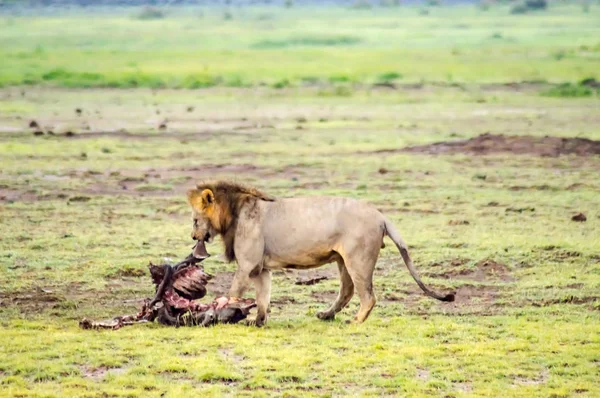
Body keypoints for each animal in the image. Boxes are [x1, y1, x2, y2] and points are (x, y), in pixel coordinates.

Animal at [188, 182, 454, 324]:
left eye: (194, 220)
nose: (192, 237)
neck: (234, 212)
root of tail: (380, 215)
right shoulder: (260, 268)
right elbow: (263, 297)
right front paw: (257, 321)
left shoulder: (247, 264)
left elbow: (233, 293)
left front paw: (224, 314)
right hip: (343, 260)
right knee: (347, 291)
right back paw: (326, 315)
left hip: (358, 259)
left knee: (367, 296)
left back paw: (355, 322)